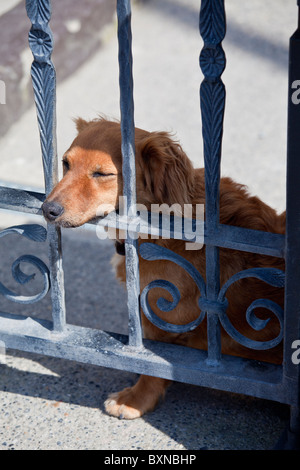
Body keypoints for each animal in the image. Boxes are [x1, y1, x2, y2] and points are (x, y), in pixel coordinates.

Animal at [41, 116, 284, 418]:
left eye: (102, 174)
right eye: (66, 163)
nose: (47, 210)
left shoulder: (163, 312)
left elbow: (152, 365)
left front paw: (135, 399)